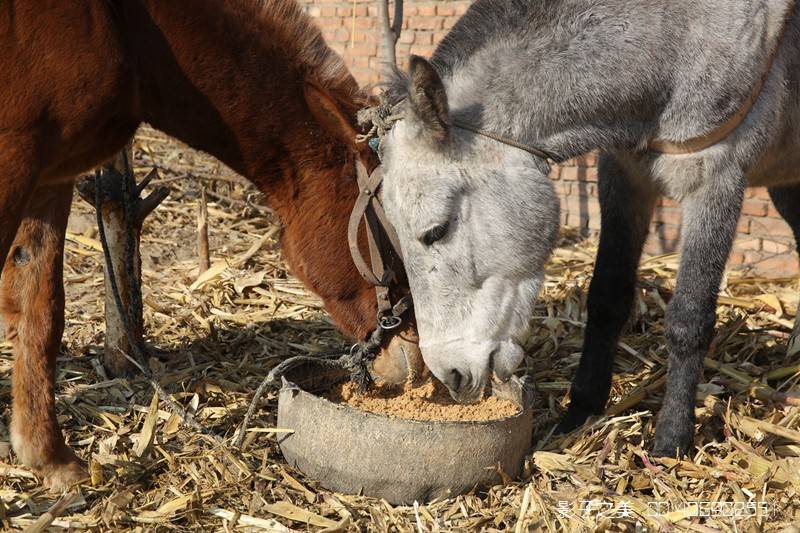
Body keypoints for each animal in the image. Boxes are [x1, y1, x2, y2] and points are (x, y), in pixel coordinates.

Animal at [1, 0, 418, 490]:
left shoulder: (51, 175)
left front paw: (47, 455)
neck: (128, 25)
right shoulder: (14, 158)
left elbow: (40, 310)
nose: (418, 363)